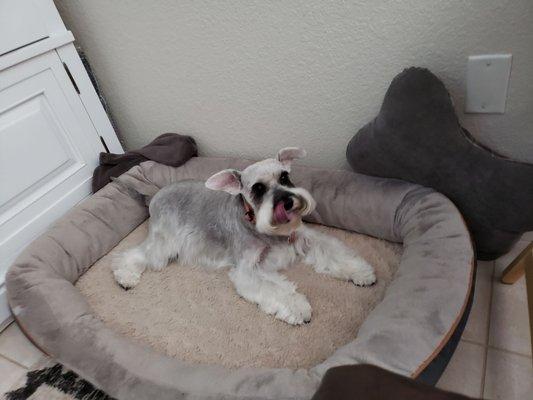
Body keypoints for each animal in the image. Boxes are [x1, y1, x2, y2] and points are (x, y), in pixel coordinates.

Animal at [113, 147, 374, 324]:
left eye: (284, 177)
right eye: (257, 188)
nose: (287, 202)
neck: (259, 226)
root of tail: (154, 194)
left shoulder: (302, 237)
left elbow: (332, 250)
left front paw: (360, 272)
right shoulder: (248, 269)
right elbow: (275, 289)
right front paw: (299, 308)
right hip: (165, 243)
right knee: (135, 255)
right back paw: (125, 276)